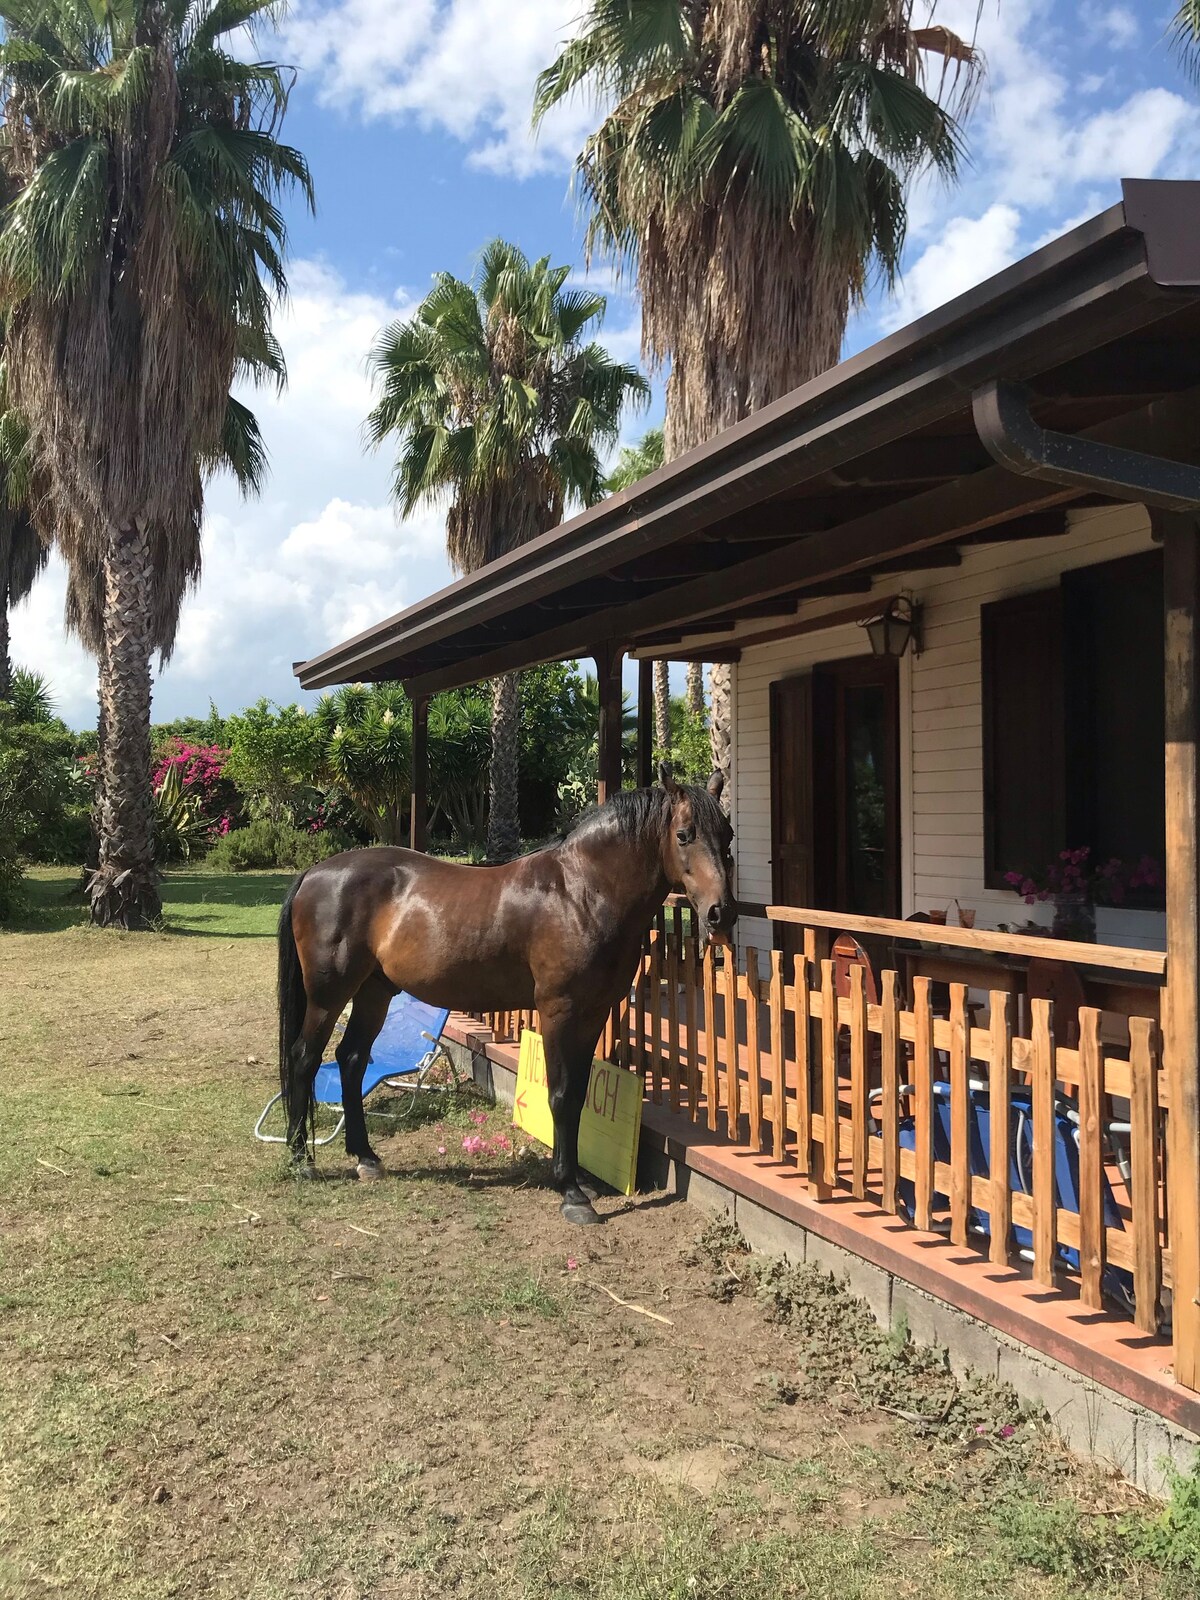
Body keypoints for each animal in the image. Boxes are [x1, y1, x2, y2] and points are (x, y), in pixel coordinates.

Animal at [276, 761, 739, 1222]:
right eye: (684, 835)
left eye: (728, 835)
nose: (722, 912)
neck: (581, 892)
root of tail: (314, 873)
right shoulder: (559, 1012)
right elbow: (561, 1095)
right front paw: (571, 1192)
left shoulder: (593, 1014)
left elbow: (579, 1095)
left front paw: (579, 1179)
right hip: (328, 997)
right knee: (305, 1058)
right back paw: (301, 1161)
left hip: (374, 992)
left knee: (352, 1060)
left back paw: (366, 1156)